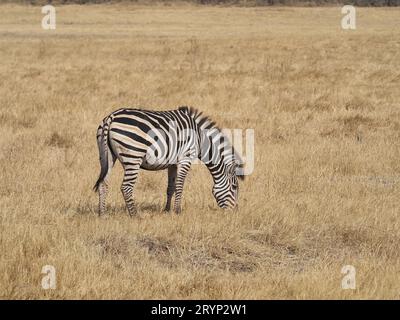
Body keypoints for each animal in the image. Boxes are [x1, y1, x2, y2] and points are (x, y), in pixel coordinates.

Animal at [94, 106, 244, 216]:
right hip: (133, 156)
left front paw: (167, 210)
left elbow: (170, 187)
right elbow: (180, 185)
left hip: (107, 156)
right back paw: (135, 215)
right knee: (126, 187)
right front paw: (178, 211)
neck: (200, 139)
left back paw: (103, 214)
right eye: (234, 187)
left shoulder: (172, 163)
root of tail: (111, 117)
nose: (235, 212)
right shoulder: (185, 158)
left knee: (103, 183)